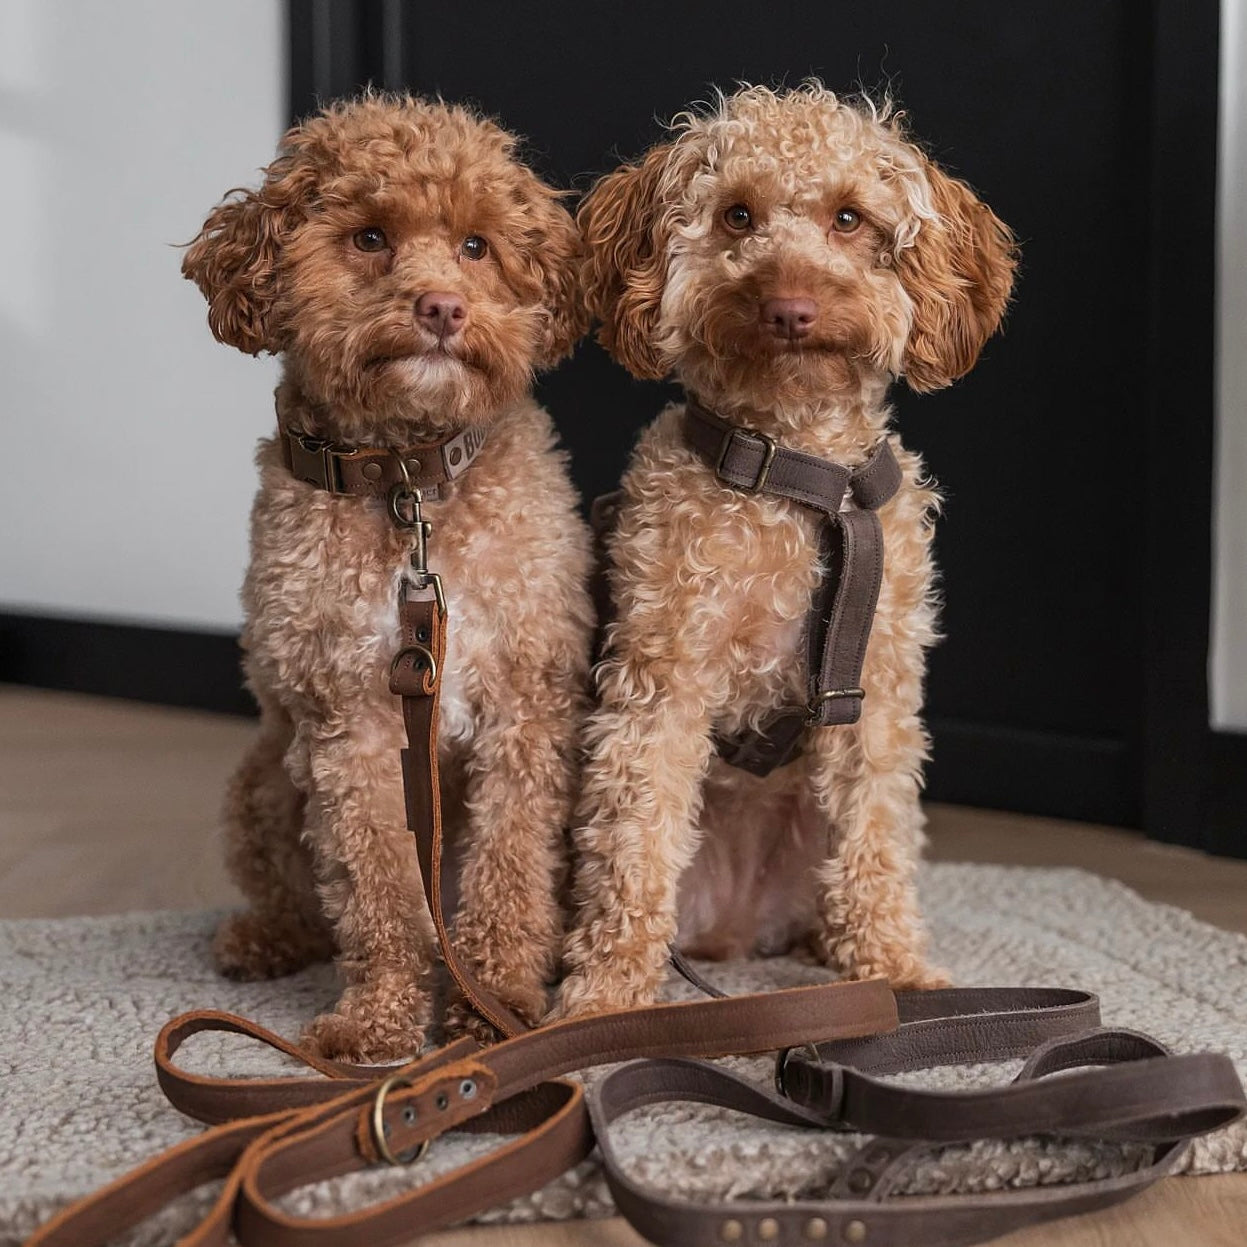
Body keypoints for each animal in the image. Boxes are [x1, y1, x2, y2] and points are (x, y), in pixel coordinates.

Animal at [182, 92, 596, 1057]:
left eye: (477, 244)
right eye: (369, 237)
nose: (441, 306)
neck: (408, 482)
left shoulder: (526, 706)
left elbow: (509, 870)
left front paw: (500, 1008)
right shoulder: (348, 721)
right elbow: (373, 888)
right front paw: (378, 1018)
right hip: (265, 776)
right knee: (296, 893)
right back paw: (262, 938)